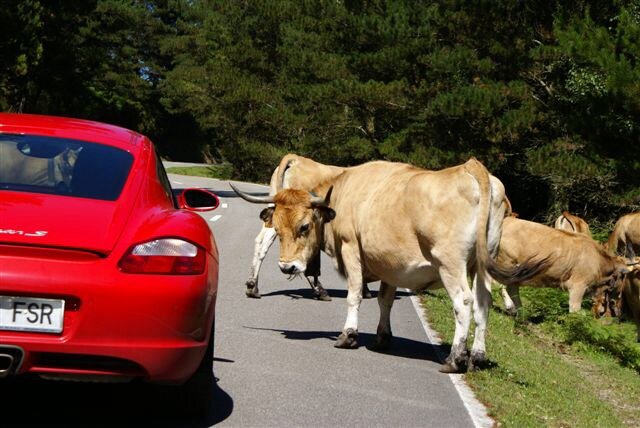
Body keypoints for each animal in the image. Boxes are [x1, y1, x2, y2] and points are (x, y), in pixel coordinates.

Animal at [232, 159, 548, 372]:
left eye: (304, 226)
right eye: (278, 228)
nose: (287, 268)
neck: (343, 192)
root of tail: (470, 167)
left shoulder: (351, 249)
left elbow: (354, 295)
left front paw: (348, 335)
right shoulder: (391, 264)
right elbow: (385, 300)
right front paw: (382, 338)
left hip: (451, 264)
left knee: (464, 302)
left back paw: (455, 357)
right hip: (481, 265)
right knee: (483, 303)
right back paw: (478, 356)